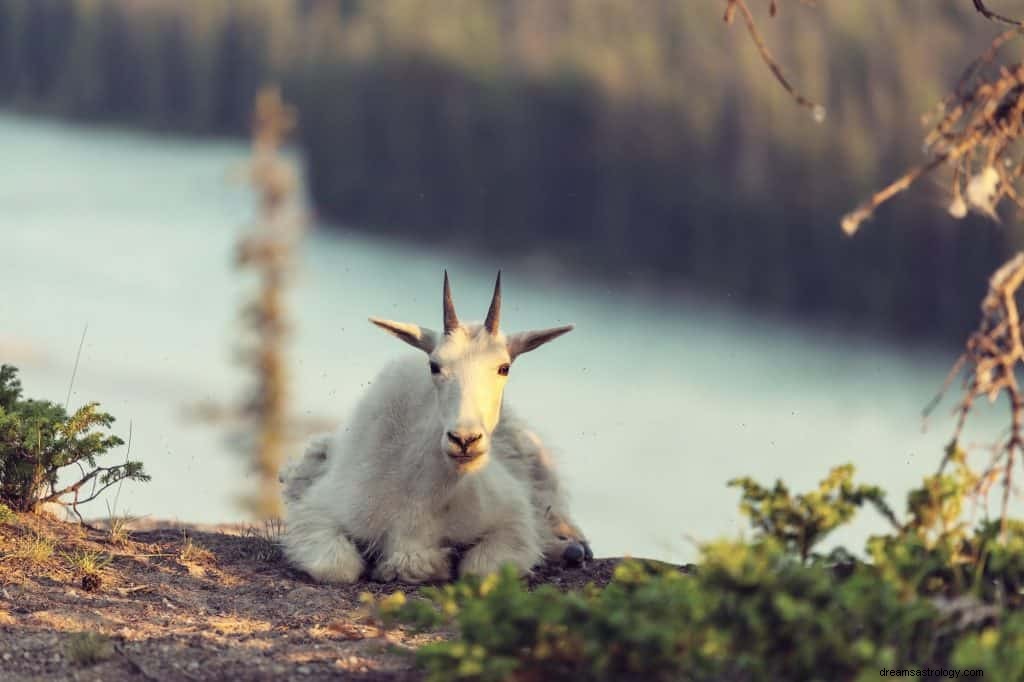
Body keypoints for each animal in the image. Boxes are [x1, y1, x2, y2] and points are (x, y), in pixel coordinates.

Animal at [282, 268, 593, 581]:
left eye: (504, 367)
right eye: (434, 365)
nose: (465, 440)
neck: (423, 493)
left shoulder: (512, 518)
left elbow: (478, 569)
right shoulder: (319, 511)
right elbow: (337, 567)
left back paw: (571, 548)